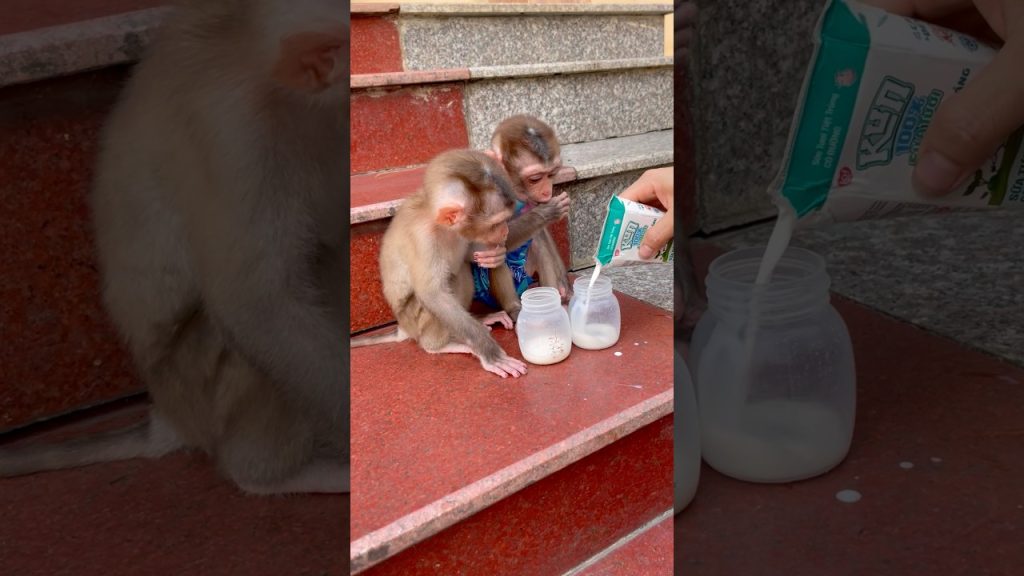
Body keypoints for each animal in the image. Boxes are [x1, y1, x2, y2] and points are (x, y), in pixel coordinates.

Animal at [351, 149, 529, 379]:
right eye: (496, 223)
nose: (505, 230)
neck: (437, 222)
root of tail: (403, 328)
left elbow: (473, 253)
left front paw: (494, 256)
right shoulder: (422, 239)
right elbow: (433, 295)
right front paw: (490, 353)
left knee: (459, 269)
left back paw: (479, 319)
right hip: (415, 322)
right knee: (446, 283)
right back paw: (437, 346)